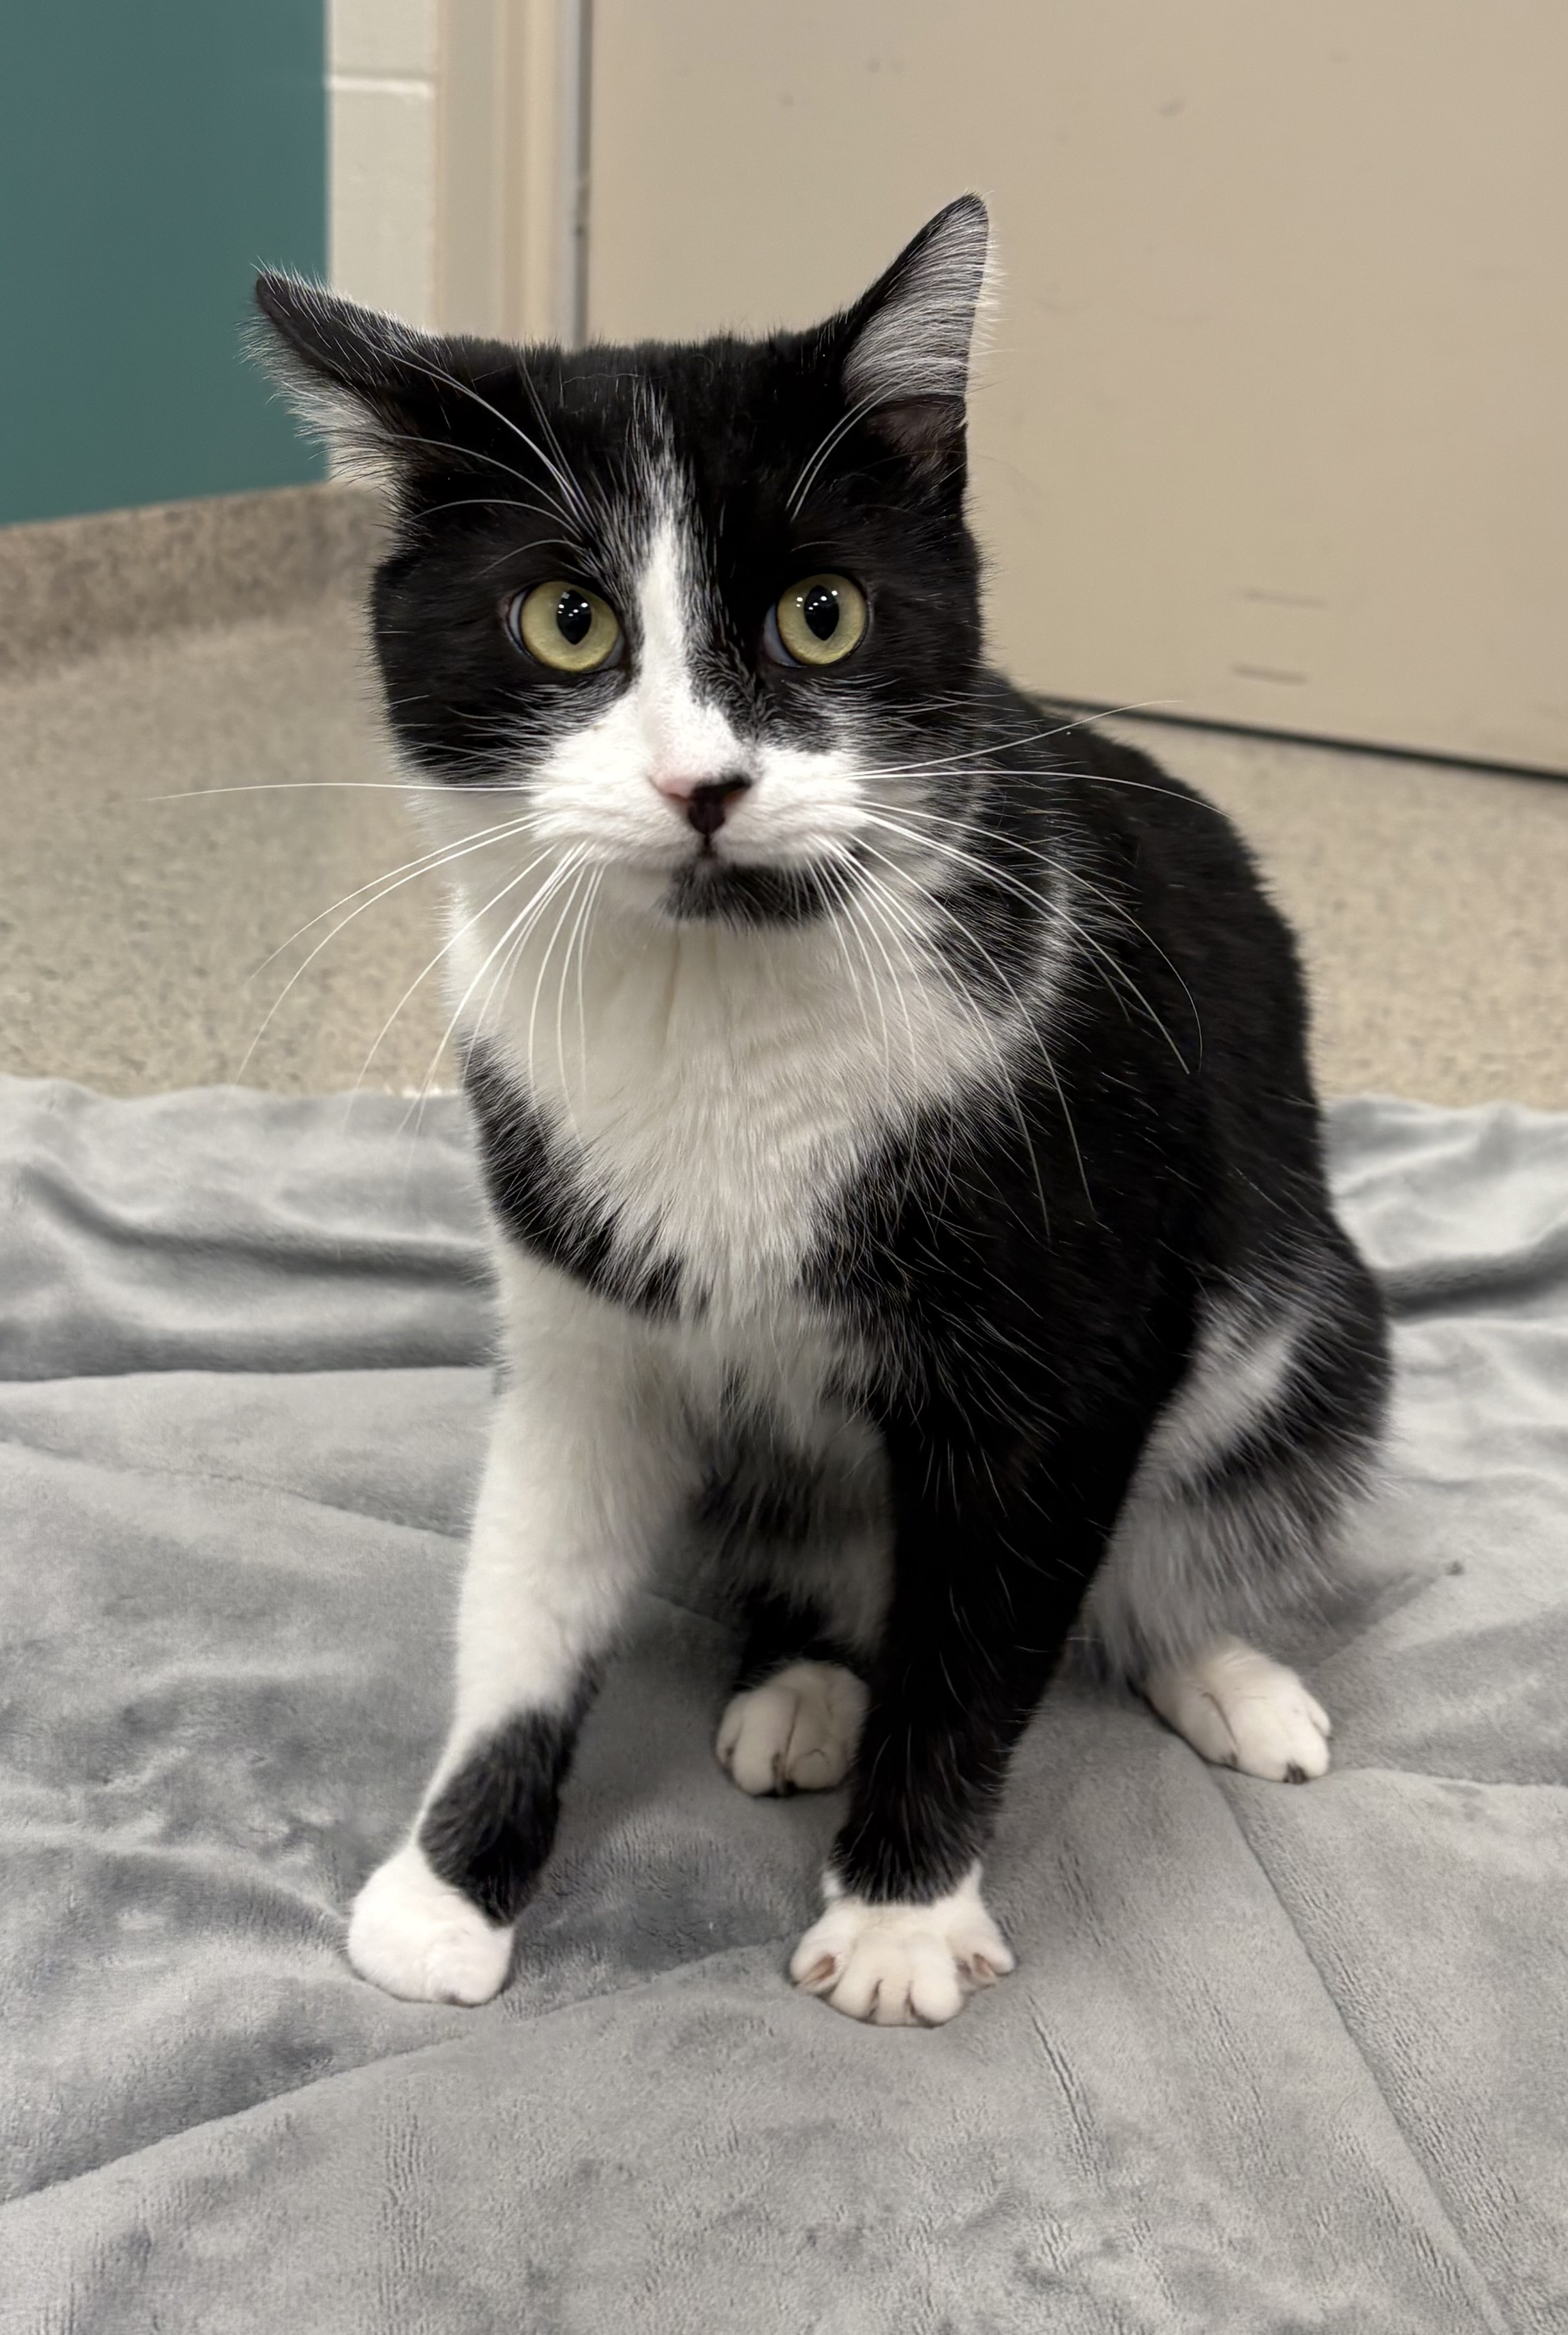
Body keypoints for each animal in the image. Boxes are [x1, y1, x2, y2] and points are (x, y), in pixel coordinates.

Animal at [256, 194, 1389, 2027]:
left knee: (1180, 1519)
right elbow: (531, 1567)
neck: (717, 997)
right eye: (563, 620)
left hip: (1308, 1324)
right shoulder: (580, 1308)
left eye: (825, 616)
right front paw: (443, 1884)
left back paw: (1220, 1671)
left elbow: (986, 1631)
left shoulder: (1065, 1333)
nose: (703, 784)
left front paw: (902, 1913)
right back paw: (807, 1683)